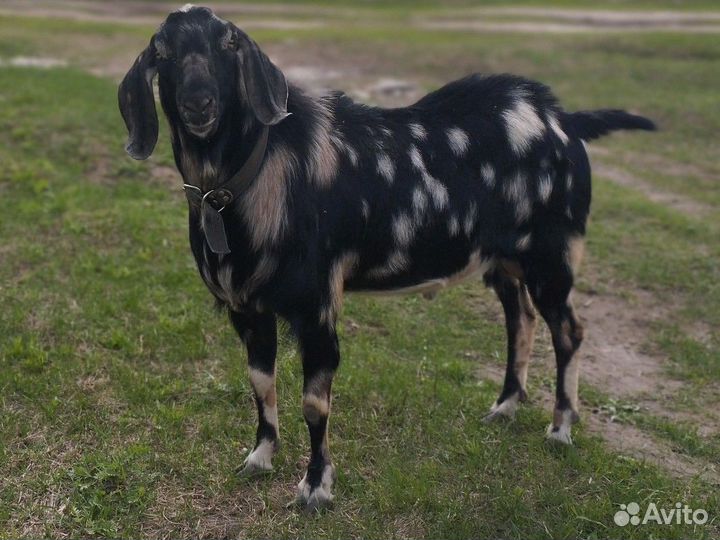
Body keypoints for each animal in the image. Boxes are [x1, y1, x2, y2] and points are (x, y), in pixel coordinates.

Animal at [118, 5, 655, 510]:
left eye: (228, 43)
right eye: (162, 51)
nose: (199, 102)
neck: (259, 178)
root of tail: (564, 121)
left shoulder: (317, 309)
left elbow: (313, 404)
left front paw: (316, 488)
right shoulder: (247, 309)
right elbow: (259, 384)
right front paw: (260, 457)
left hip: (551, 259)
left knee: (568, 331)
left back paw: (561, 428)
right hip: (503, 261)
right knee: (519, 318)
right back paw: (505, 407)